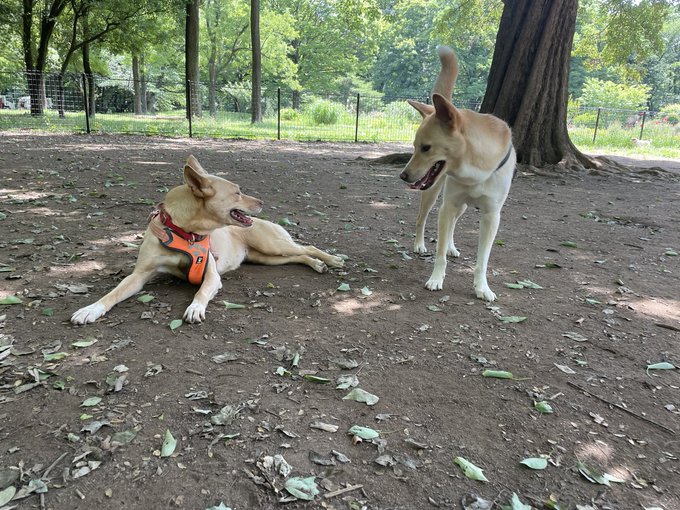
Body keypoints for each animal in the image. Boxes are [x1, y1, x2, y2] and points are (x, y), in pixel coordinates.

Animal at [71, 155, 344, 324]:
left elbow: (201, 291)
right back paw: (317, 264)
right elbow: (112, 294)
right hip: (266, 258)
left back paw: (331, 259)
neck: (184, 232)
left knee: (307, 246)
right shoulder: (139, 276)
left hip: (272, 245)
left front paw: (195, 308)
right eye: (237, 192)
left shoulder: (211, 275)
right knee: (299, 255)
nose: (262, 202)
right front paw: (90, 309)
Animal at [399, 46, 515, 302]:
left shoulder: (492, 216)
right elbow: (439, 253)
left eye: (426, 148)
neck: (475, 170)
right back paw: (420, 244)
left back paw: (452, 246)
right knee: (422, 219)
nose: (403, 176)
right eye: (414, 146)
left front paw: (482, 288)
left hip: (460, 205)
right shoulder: (448, 205)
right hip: (433, 194)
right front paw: (436, 279)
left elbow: (483, 260)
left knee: (452, 225)